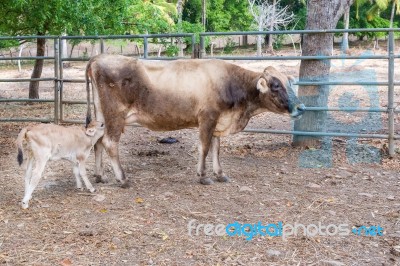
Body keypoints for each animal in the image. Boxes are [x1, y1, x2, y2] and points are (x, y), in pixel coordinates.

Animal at [84, 54, 304, 187]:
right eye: (276, 85)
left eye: (290, 83)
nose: (301, 107)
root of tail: (99, 57)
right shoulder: (208, 117)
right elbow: (204, 147)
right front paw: (203, 176)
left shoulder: (218, 121)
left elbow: (216, 148)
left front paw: (219, 174)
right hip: (115, 115)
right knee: (110, 142)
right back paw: (122, 178)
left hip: (101, 115)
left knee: (98, 141)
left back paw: (100, 175)